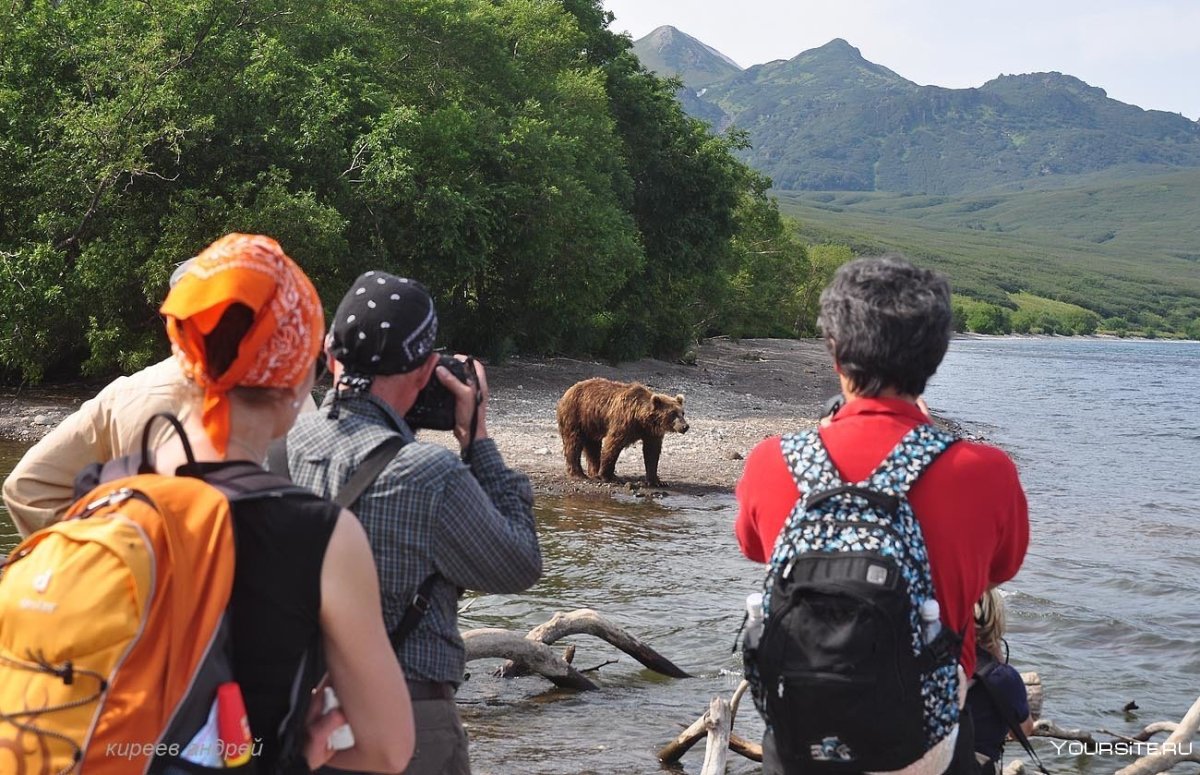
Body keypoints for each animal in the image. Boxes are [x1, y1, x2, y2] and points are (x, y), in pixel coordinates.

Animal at [552, 379, 686, 489]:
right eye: (673, 413)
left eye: (682, 412)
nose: (685, 426)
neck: (641, 419)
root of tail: (567, 392)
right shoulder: (623, 422)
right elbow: (613, 445)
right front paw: (609, 476)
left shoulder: (651, 432)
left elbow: (652, 453)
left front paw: (657, 481)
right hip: (576, 415)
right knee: (573, 443)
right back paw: (578, 474)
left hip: (591, 424)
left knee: (592, 446)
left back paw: (594, 472)